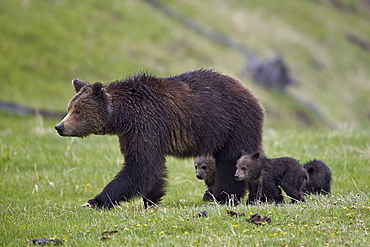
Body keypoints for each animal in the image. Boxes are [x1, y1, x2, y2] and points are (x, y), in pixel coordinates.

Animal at [55, 69, 264, 208]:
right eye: (69, 108)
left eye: (78, 111)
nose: (60, 127)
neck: (123, 115)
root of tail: (252, 94)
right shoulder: (131, 133)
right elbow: (149, 167)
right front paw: (152, 199)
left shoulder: (147, 122)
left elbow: (142, 165)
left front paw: (95, 201)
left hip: (233, 124)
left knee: (230, 161)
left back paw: (224, 196)